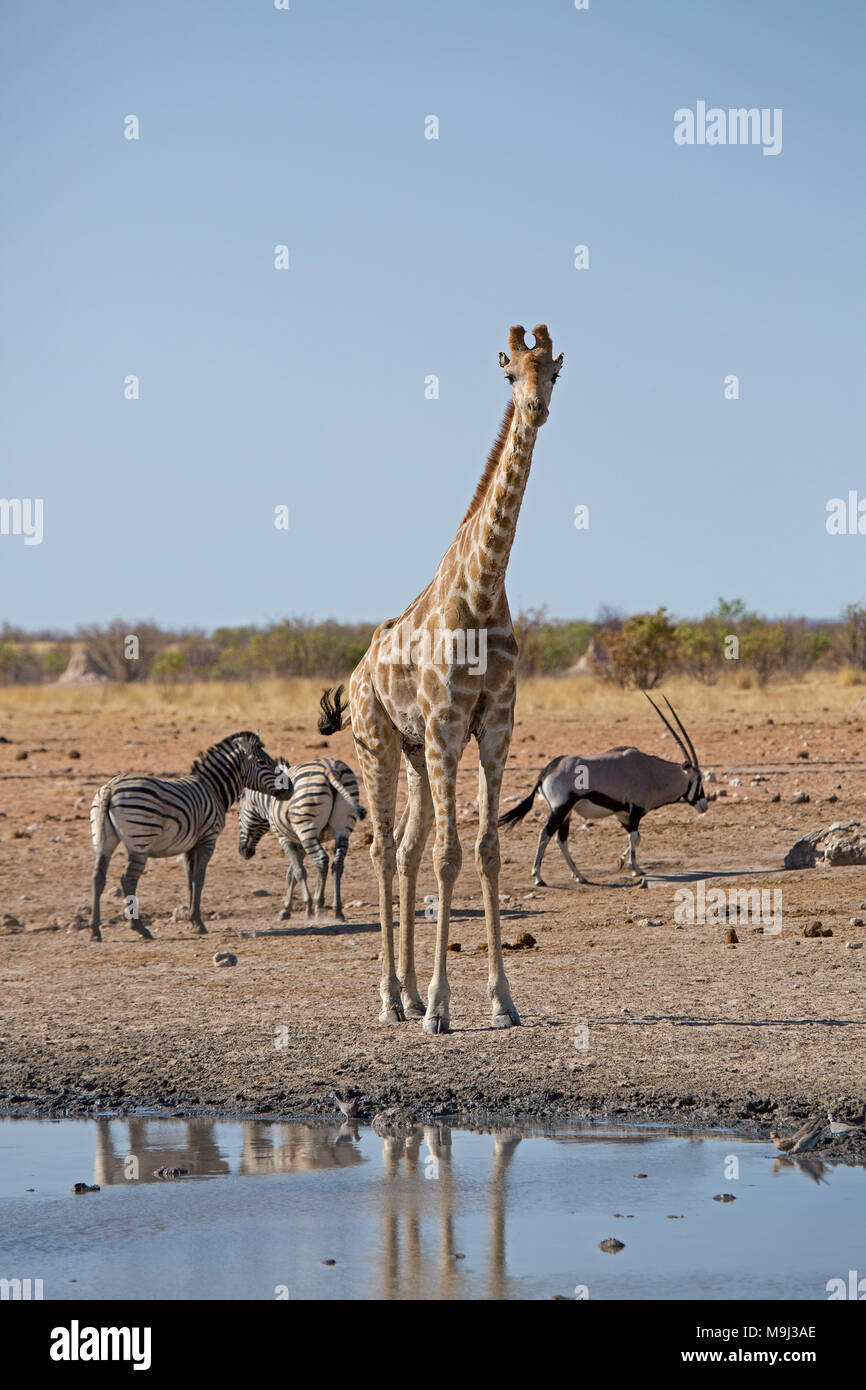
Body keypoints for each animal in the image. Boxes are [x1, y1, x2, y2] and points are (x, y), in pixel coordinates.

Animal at [319, 324, 562, 1033]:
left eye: (554, 373)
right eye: (510, 374)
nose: (536, 410)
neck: (481, 593)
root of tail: (357, 672)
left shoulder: (496, 726)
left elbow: (483, 851)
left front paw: (501, 1000)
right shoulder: (448, 724)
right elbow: (447, 856)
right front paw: (442, 1007)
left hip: (413, 749)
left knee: (404, 847)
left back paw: (404, 992)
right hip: (380, 743)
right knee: (381, 848)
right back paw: (389, 999)